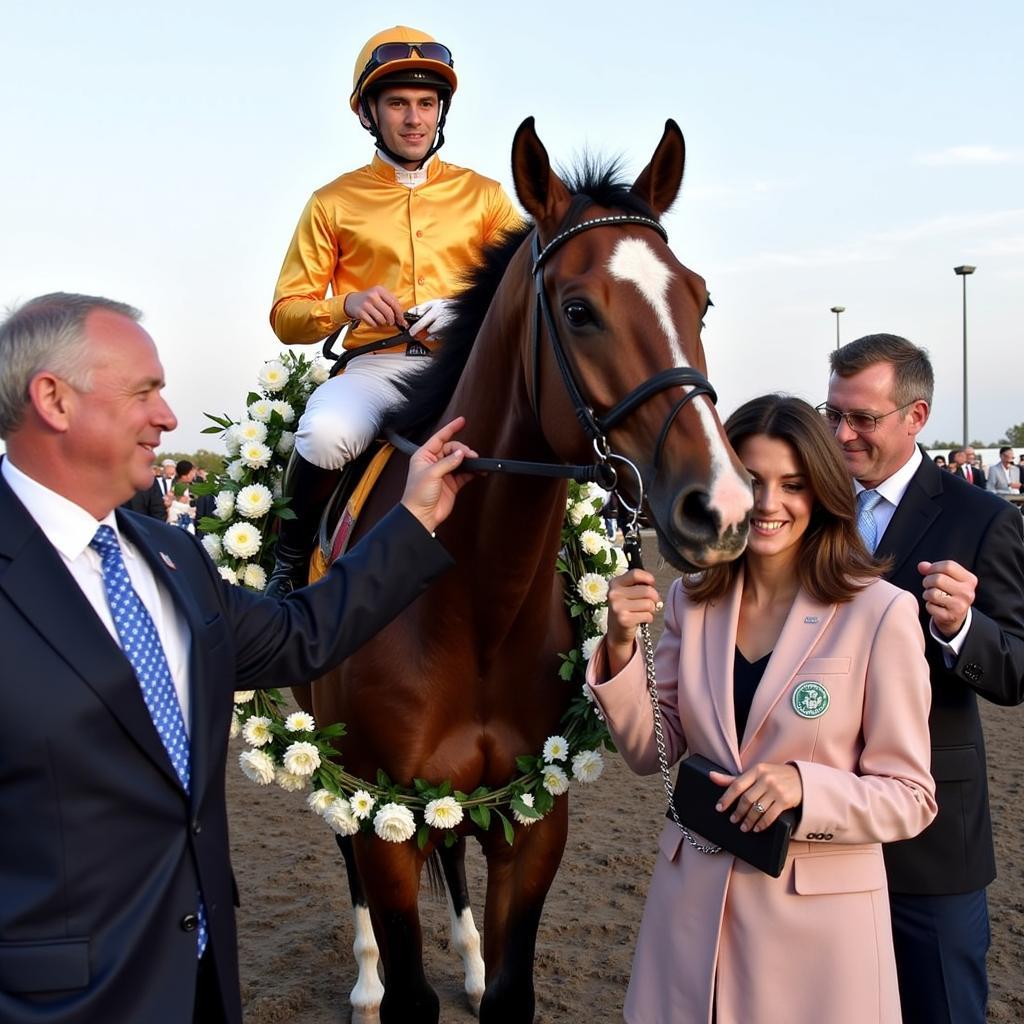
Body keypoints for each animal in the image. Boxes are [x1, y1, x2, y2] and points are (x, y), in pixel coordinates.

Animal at [303, 116, 753, 1019]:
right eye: (578, 311)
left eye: (700, 299)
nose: (718, 506)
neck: (475, 607)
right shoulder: (380, 812)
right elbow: (408, 985)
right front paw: (388, 978)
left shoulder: (538, 817)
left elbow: (512, 990)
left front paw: (486, 968)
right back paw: (365, 978)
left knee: (450, 846)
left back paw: (469, 955)